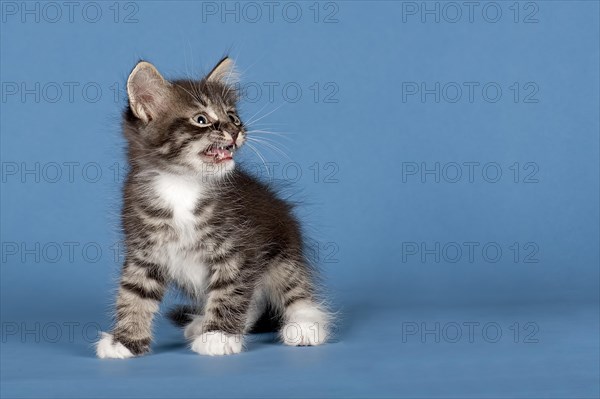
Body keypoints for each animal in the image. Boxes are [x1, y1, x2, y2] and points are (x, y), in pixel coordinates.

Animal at [97, 57, 332, 360]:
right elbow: (134, 293)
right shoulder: (143, 249)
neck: (180, 183)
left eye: (232, 116)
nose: (236, 130)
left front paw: (219, 335)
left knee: (293, 287)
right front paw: (124, 340)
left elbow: (231, 292)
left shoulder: (239, 247)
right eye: (202, 119)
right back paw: (204, 322)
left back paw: (304, 324)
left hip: (283, 246)